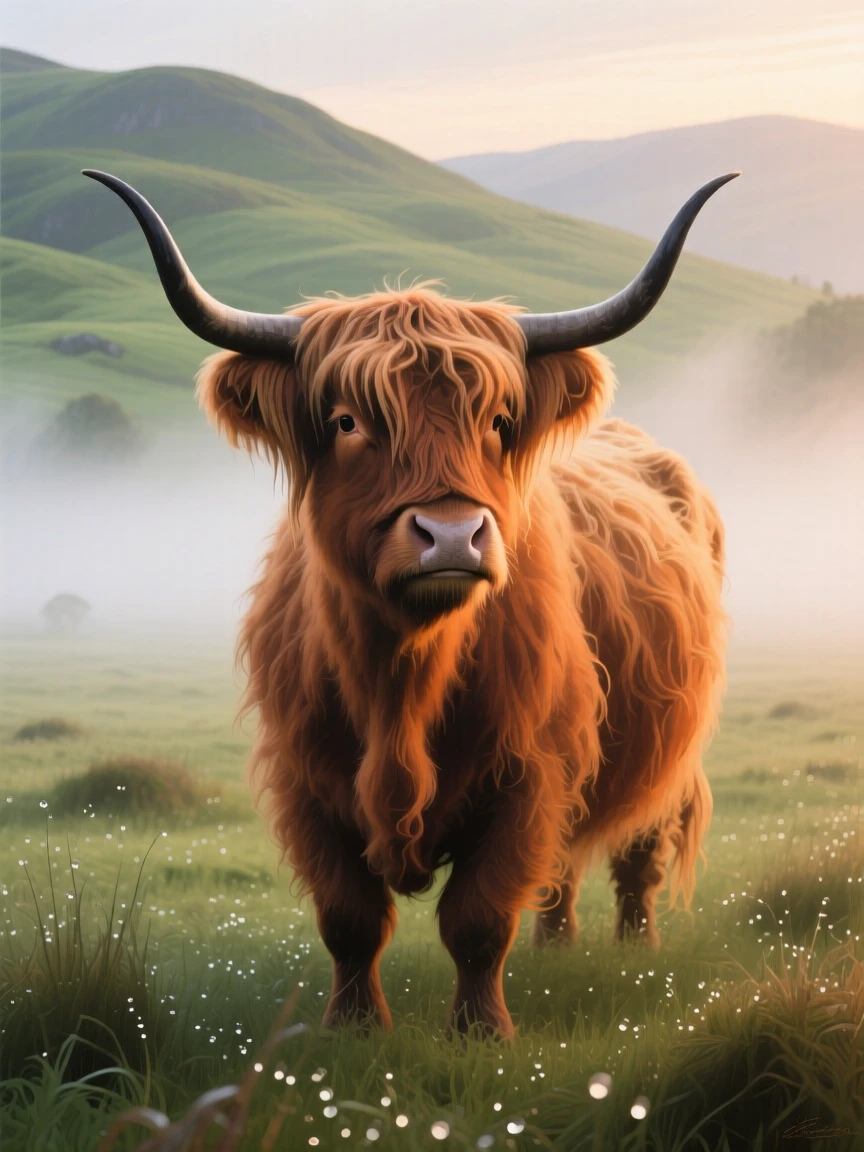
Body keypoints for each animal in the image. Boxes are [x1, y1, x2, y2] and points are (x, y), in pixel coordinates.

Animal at [84, 169, 733, 1038]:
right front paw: (353, 1028)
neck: (401, 682)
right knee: (561, 872)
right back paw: (556, 948)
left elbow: (478, 917)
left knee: (637, 855)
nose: (452, 535)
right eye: (347, 421)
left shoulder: (530, 775)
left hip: (663, 757)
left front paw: (480, 1032)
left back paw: (634, 951)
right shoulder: (305, 781)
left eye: (499, 420)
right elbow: (350, 918)